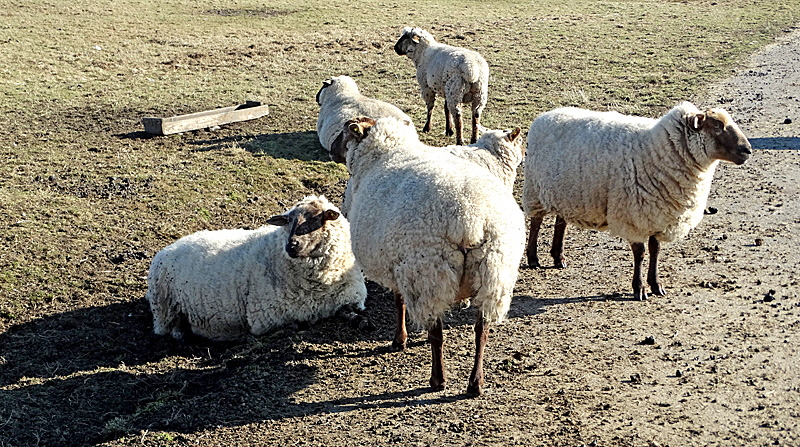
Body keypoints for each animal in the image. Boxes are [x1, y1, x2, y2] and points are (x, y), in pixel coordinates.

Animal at [145, 194, 368, 342]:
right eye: (288, 221)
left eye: (317, 218)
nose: (291, 246)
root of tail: (167, 249)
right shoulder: (266, 318)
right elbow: (297, 324)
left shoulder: (349, 298)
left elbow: (350, 312)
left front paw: (361, 321)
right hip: (164, 306)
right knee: (166, 327)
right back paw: (180, 334)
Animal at [338, 115, 524, 396]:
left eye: (346, 134)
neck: (385, 152)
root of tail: (471, 218)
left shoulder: (399, 267)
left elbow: (399, 303)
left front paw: (400, 340)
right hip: (495, 272)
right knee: (482, 329)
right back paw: (475, 382)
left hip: (428, 272)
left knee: (437, 333)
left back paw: (438, 380)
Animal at [520, 101, 752, 300]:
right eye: (717, 126)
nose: (747, 150)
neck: (658, 150)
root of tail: (545, 116)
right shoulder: (634, 215)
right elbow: (640, 253)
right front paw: (639, 289)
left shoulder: (659, 214)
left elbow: (655, 250)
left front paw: (656, 285)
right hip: (535, 189)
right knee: (536, 222)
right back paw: (533, 258)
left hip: (565, 193)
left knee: (561, 222)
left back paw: (558, 257)